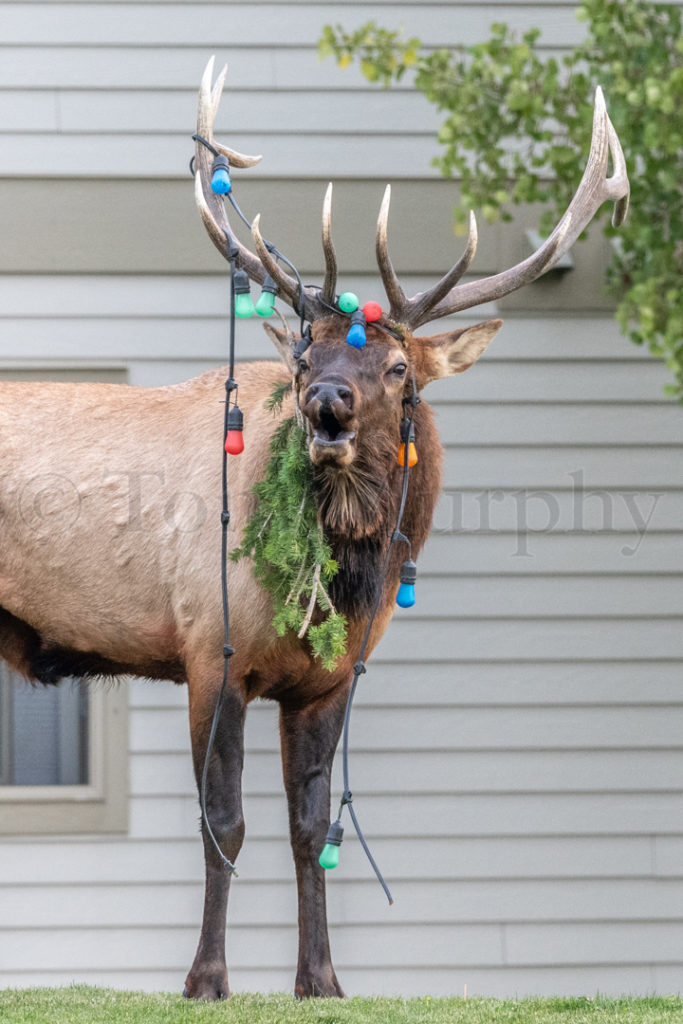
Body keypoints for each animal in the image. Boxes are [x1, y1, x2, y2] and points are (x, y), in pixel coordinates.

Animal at [1, 58, 630, 999]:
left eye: (399, 366)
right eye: (303, 356)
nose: (325, 404)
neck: (337, 584)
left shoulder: (329, 682)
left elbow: (309, 828)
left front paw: (321, 980)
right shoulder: (208, 647)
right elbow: (223, 822)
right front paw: (207, 979)